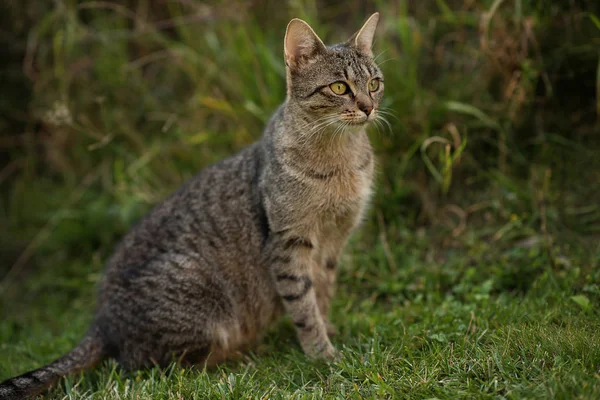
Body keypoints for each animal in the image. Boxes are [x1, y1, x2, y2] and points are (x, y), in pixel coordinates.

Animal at [0, 12, 384, 400]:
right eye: (339, 88)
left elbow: (322, 292)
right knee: (151, 366)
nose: (368, 107)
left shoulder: (333, 242)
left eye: (374, 83)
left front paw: (328, 331)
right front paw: (321, 354)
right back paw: (242, 357)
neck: (340, 161)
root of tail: (100, 321)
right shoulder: (289, 243)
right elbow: (303, 303)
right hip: (199, 295)